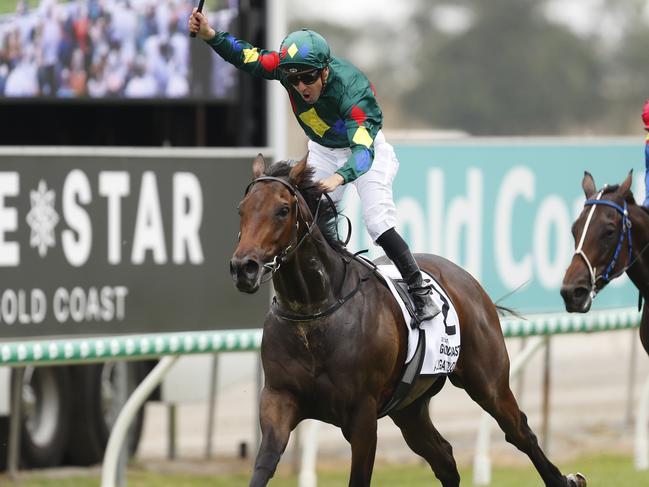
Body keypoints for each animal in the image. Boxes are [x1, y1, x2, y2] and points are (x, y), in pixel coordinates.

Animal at [230, 153, 584, 487]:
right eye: (242, 209)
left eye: (282, 210)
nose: (243, 267)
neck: (314, 311)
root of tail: (466, 278)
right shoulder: (278, 399)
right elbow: (263, 465)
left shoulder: (362, 415)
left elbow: (359, 477)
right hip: (409, 408)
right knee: (444, 457)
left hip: (488, 383)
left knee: (520, 431)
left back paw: (565, 478)